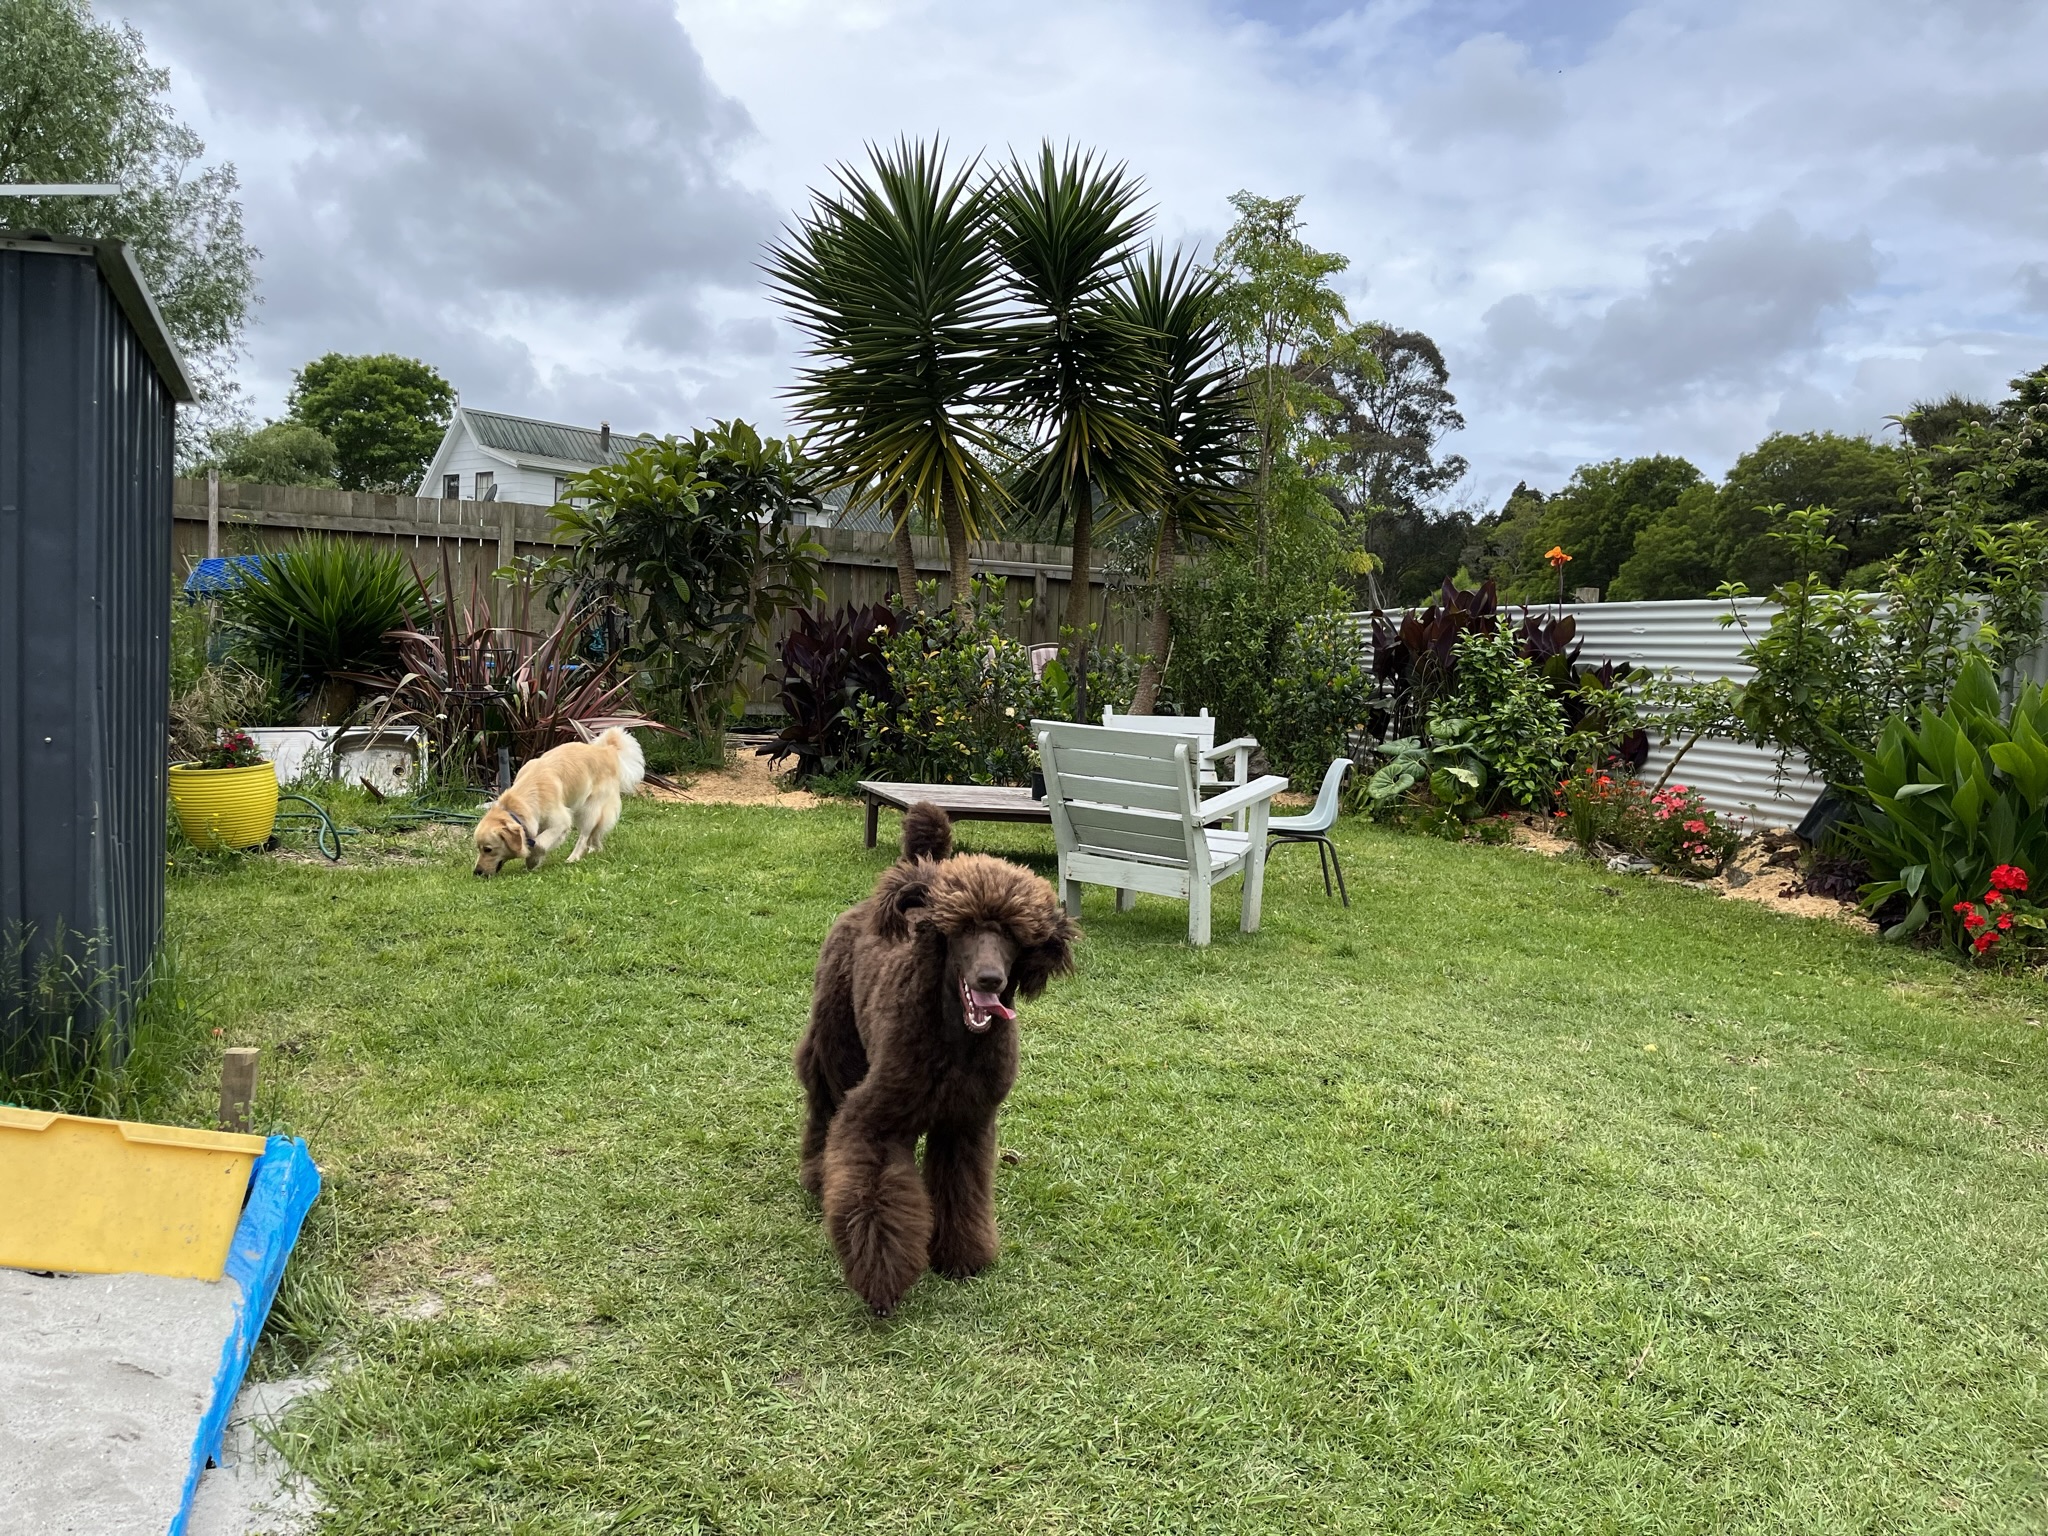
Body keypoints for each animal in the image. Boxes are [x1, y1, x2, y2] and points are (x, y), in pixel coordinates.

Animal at [473, 729, 647, 876]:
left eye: (488, 849)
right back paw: (595, 849)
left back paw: (574, 857)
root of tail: (606, 750)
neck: (522, 801)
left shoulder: (560, 822)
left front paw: (532, 860)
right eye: (479, 849)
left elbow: (539, 843)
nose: (477, 872)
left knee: (585, 835)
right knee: (596, 834)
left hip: (589, 809)